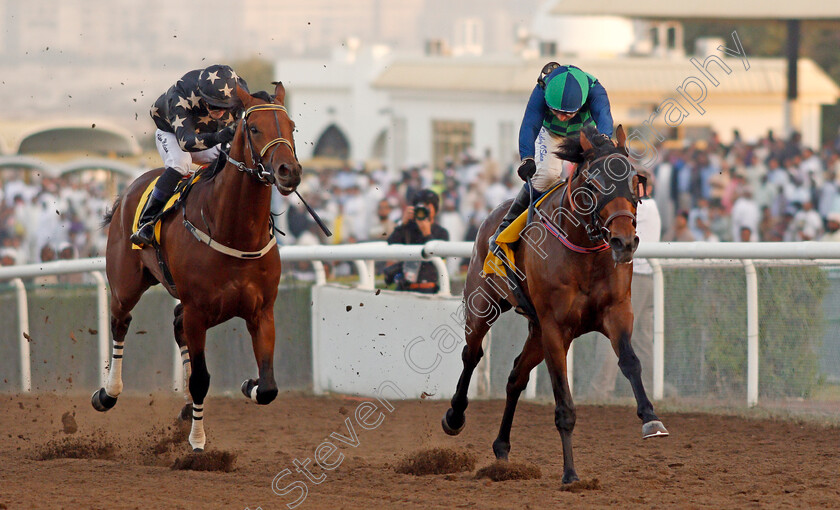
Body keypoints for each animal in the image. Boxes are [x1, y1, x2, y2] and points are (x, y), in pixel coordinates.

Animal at [95, 80, 302, 450]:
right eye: (253, 127)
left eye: (292, 126)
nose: (288, 171)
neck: (234, 231)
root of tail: (127, 190)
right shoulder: (198, 311)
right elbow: (201, 380)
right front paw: (198, 443)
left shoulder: (261, 311)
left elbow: (268, 386)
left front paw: (248, 385)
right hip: (125, 284)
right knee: (121, 322)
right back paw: (108, 393)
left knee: (175, 324)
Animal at [440, 125, 668, 484]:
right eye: (594, 184)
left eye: (635, 180)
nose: (624, 242)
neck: (584, 247)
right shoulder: (555, 328)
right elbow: (563, 401)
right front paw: (570, 474)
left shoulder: (616, 312)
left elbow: (630, 362)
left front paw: (651, 418)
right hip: (483, 304)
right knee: (472, 354)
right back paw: (455, 416)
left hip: (535, 330)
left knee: (516, 377)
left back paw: (502, 448)